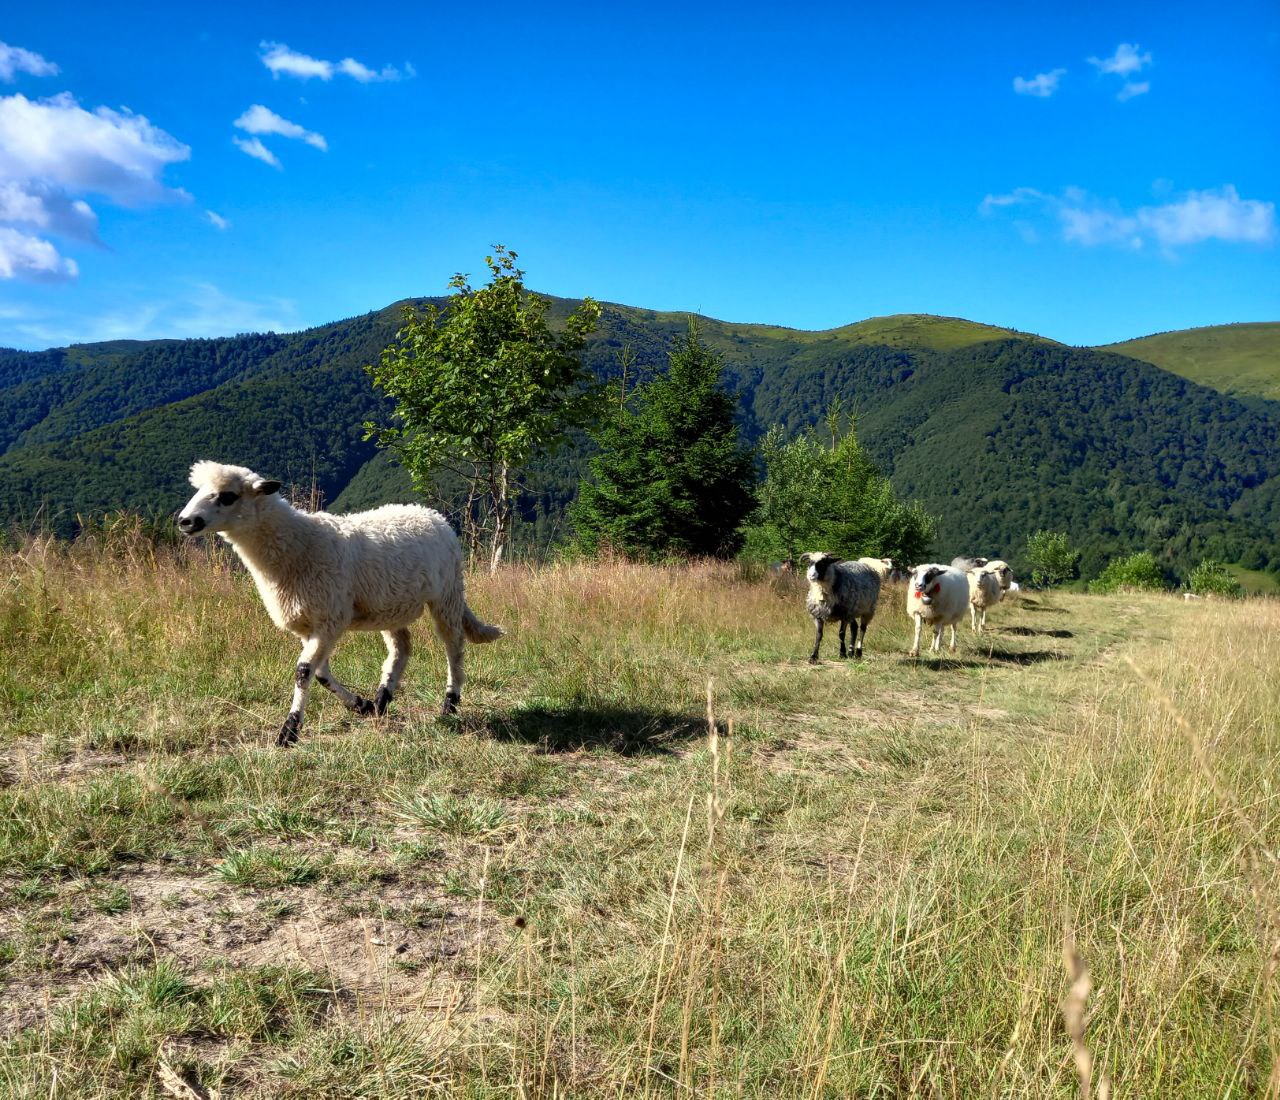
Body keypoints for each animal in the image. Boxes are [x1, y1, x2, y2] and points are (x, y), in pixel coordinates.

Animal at [176, 463, 504, 747]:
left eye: (228, 496)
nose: (184, 521)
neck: (299, 546)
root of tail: (430, 513)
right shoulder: (309, 623)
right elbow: (320, 673)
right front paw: (360, 704)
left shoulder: (330, 618)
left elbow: (304, 671)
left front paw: (289, 732)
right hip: (391, 605)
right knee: (401, 648)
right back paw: (381, 701)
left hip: (447, 594)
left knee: (454, 646)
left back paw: (450, 704)